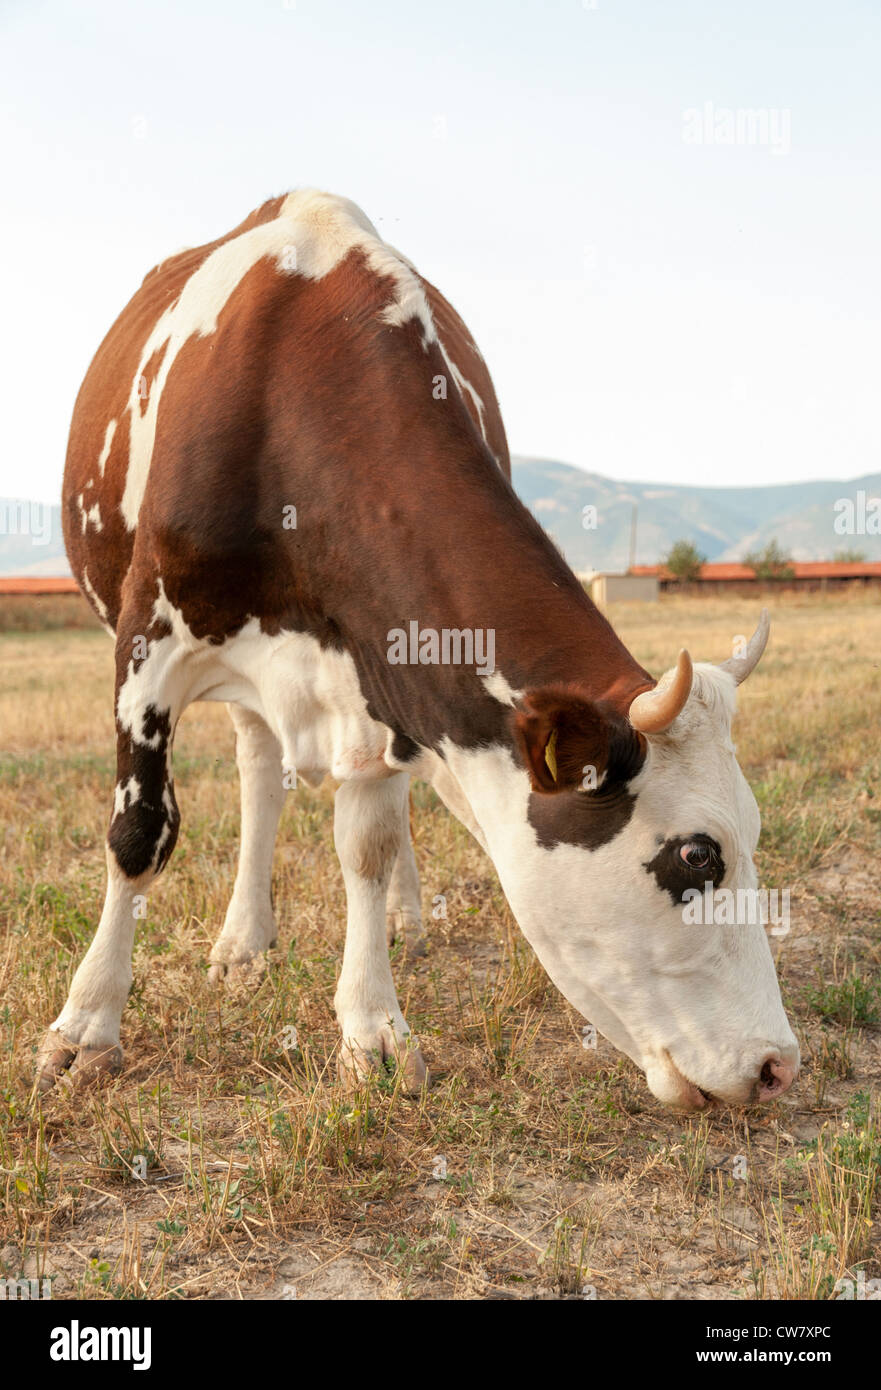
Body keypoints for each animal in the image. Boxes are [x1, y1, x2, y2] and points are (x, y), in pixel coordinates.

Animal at [39, 188, 799, 1110]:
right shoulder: (146, 645)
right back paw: (244, 940)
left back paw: (395, 916)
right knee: (257, 768)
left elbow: (365, 846)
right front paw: (86, 1025)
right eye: (696, 853)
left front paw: (372, 1029)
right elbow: (139, 832)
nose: (777, 1065)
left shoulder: (384, 669)